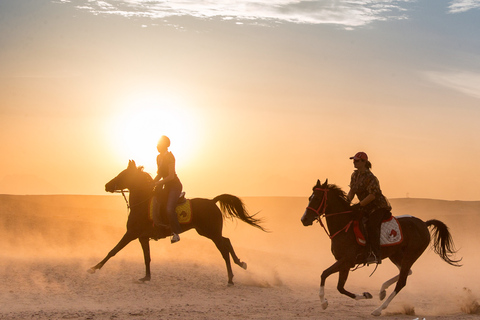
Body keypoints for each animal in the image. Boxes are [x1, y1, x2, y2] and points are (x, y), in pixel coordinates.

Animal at [88, 160, 264, 284]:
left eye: (123, 174)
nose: (107, 185)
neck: (142, 203)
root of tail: (212, 201)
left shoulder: (131, 234)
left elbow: (113, 251)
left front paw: (93, 268)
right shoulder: (142, 237)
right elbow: (147, 257)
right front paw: (146, 277)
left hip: (211, 232)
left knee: (224, 249)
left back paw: (231, 277)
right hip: (207, 232)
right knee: (226, 242)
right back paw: (239, 265)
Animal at [300, 179, 462, 316]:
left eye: (316, 198)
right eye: (309, 198)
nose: (304, 219)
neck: (344, 225)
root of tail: (424, 224)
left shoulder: (346, 260)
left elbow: (324, 274)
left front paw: (323, 303)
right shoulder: (344, 263)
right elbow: (340, 287)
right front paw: (365, 295)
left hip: (410, 255)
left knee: (402, 281)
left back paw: (378, 309)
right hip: (395, 255)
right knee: (406, 272)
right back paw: (382, 291)